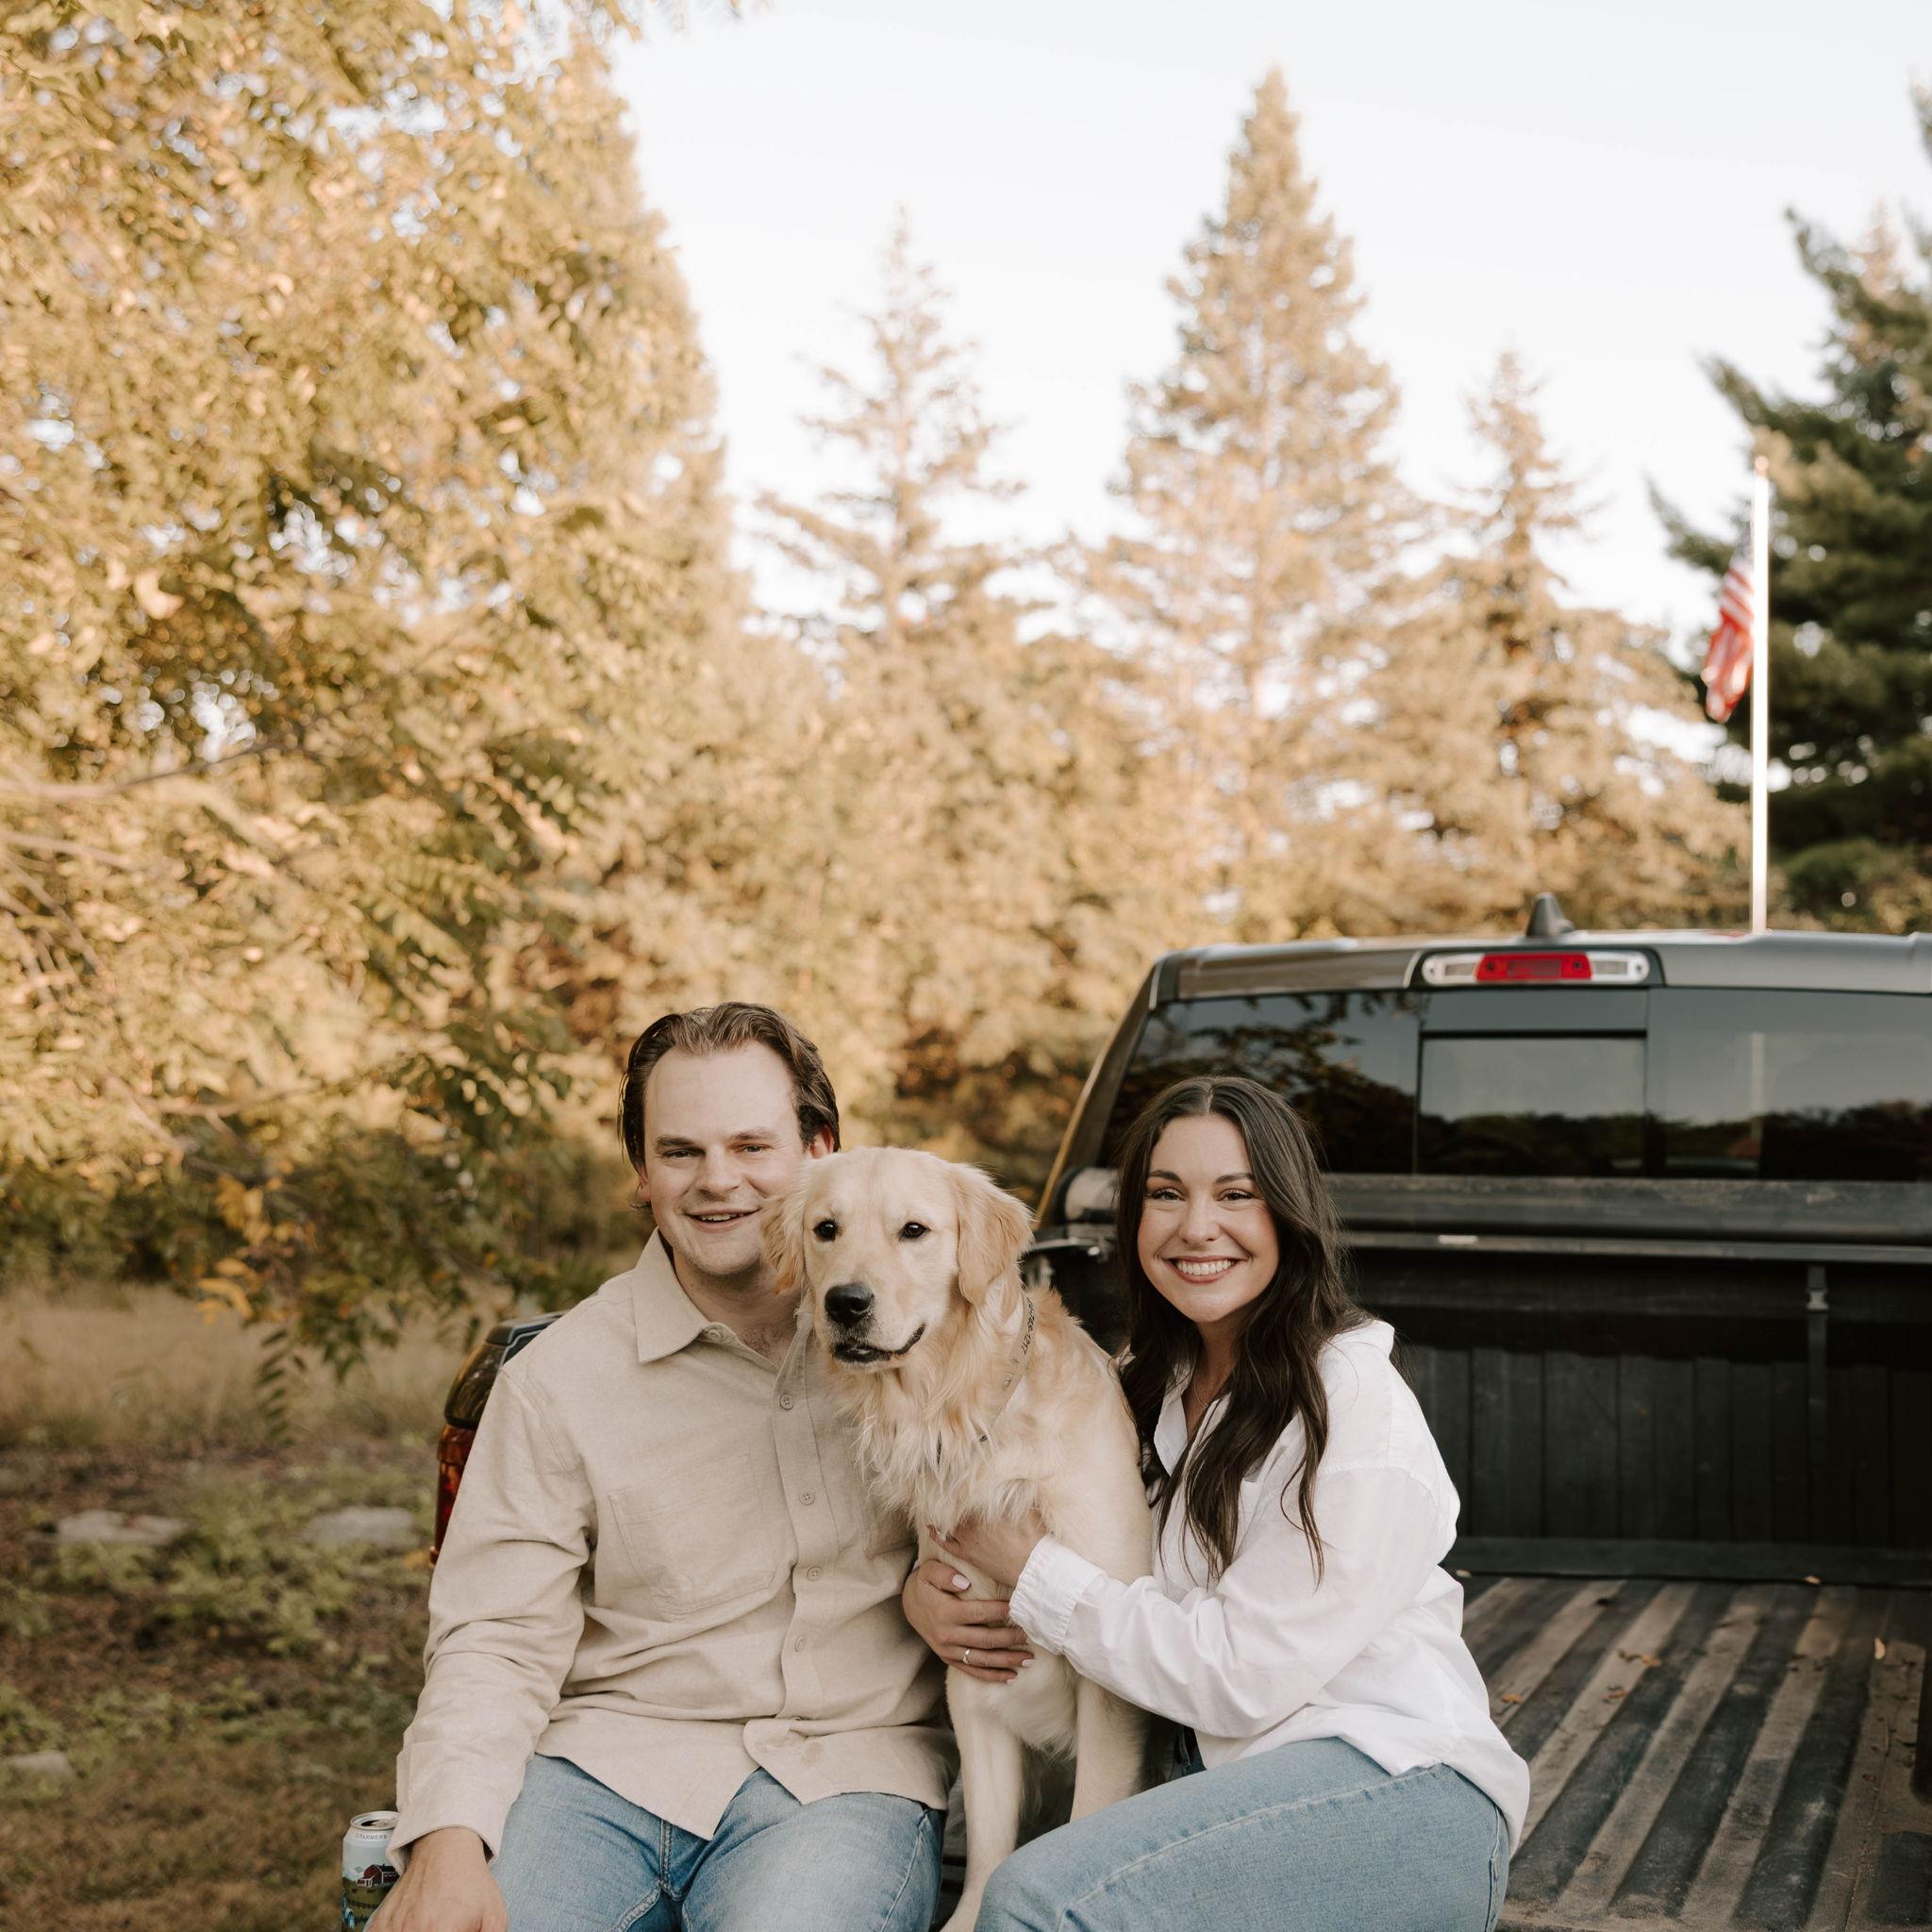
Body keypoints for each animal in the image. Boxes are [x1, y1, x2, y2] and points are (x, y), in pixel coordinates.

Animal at [765, 1147, 1154, 1931]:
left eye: (914, 1230)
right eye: (826, 1229)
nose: (845, 1303)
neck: (959, 1409)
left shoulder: (1107, 1693)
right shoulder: (973, 1674)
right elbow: (988, 1852)